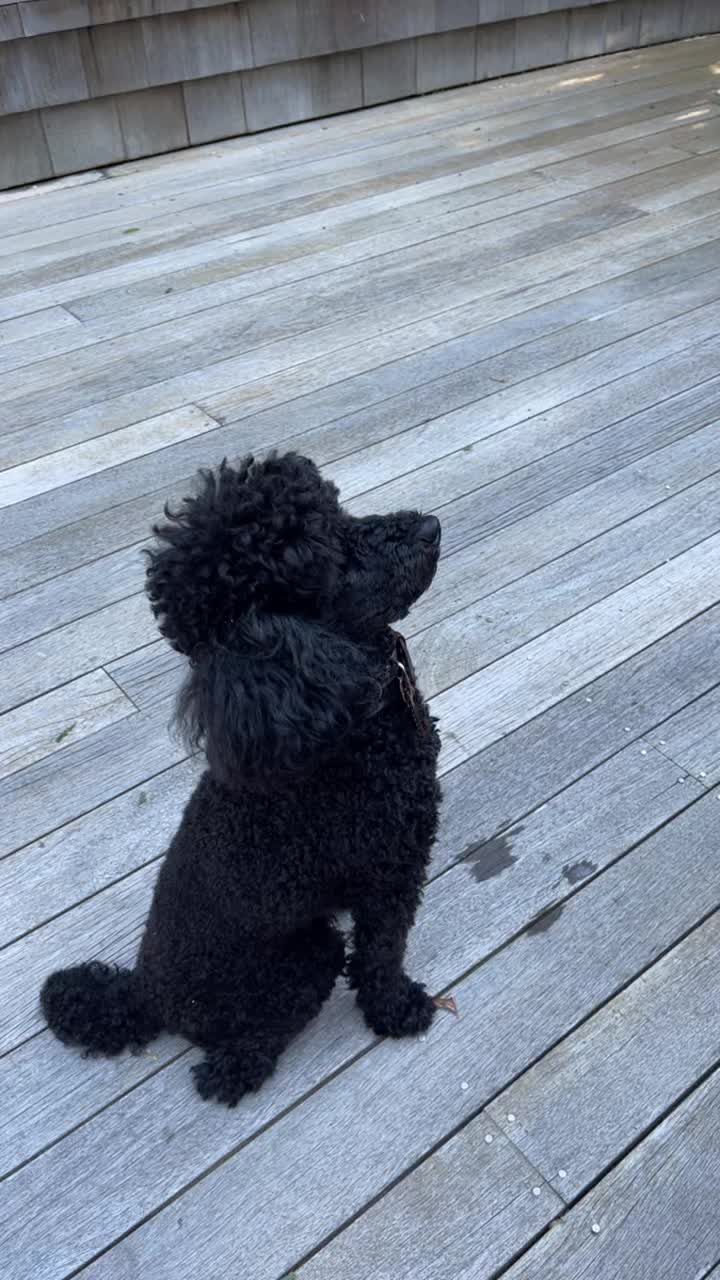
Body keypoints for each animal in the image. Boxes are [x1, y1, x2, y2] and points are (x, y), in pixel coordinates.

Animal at [41, 452, 445, 1105]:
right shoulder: (389, 867)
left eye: (340, 513)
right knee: (244, 1044)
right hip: (301, 957)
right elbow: (382, 952)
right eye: (330, 556)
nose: (430, 528)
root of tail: (145, 991)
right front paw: (397, 1009)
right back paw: (236, 1070)